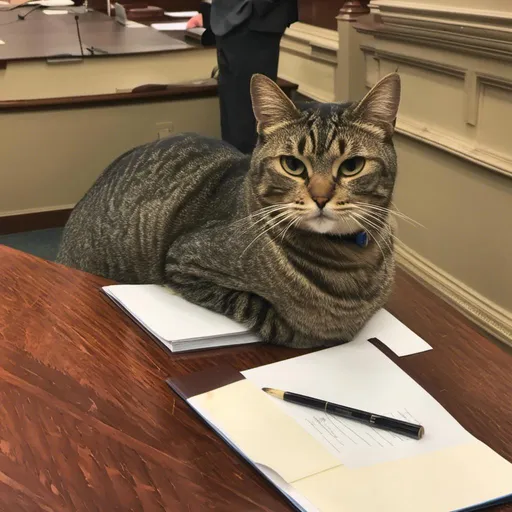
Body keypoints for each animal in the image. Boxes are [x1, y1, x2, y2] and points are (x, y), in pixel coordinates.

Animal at [56, 73, 400, 348]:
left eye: (352, 166)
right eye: (292, 165)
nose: (320, 197)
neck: (349, 261)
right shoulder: (184, 262)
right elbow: (259, 309)